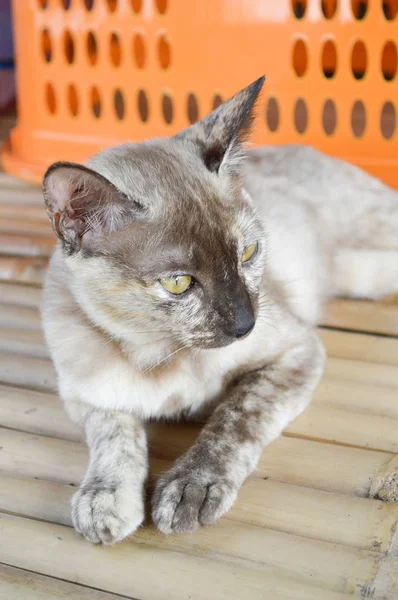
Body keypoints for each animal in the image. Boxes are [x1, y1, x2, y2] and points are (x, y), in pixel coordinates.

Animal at [42, 77, 398, 548]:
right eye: (179, 283)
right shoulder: (86, 396)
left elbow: (234, 418)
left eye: (248, 252)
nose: (246, 325)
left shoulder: (295, 352)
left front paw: (191, 489)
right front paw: (104, 501)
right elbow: (115, 434)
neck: (161, 353)